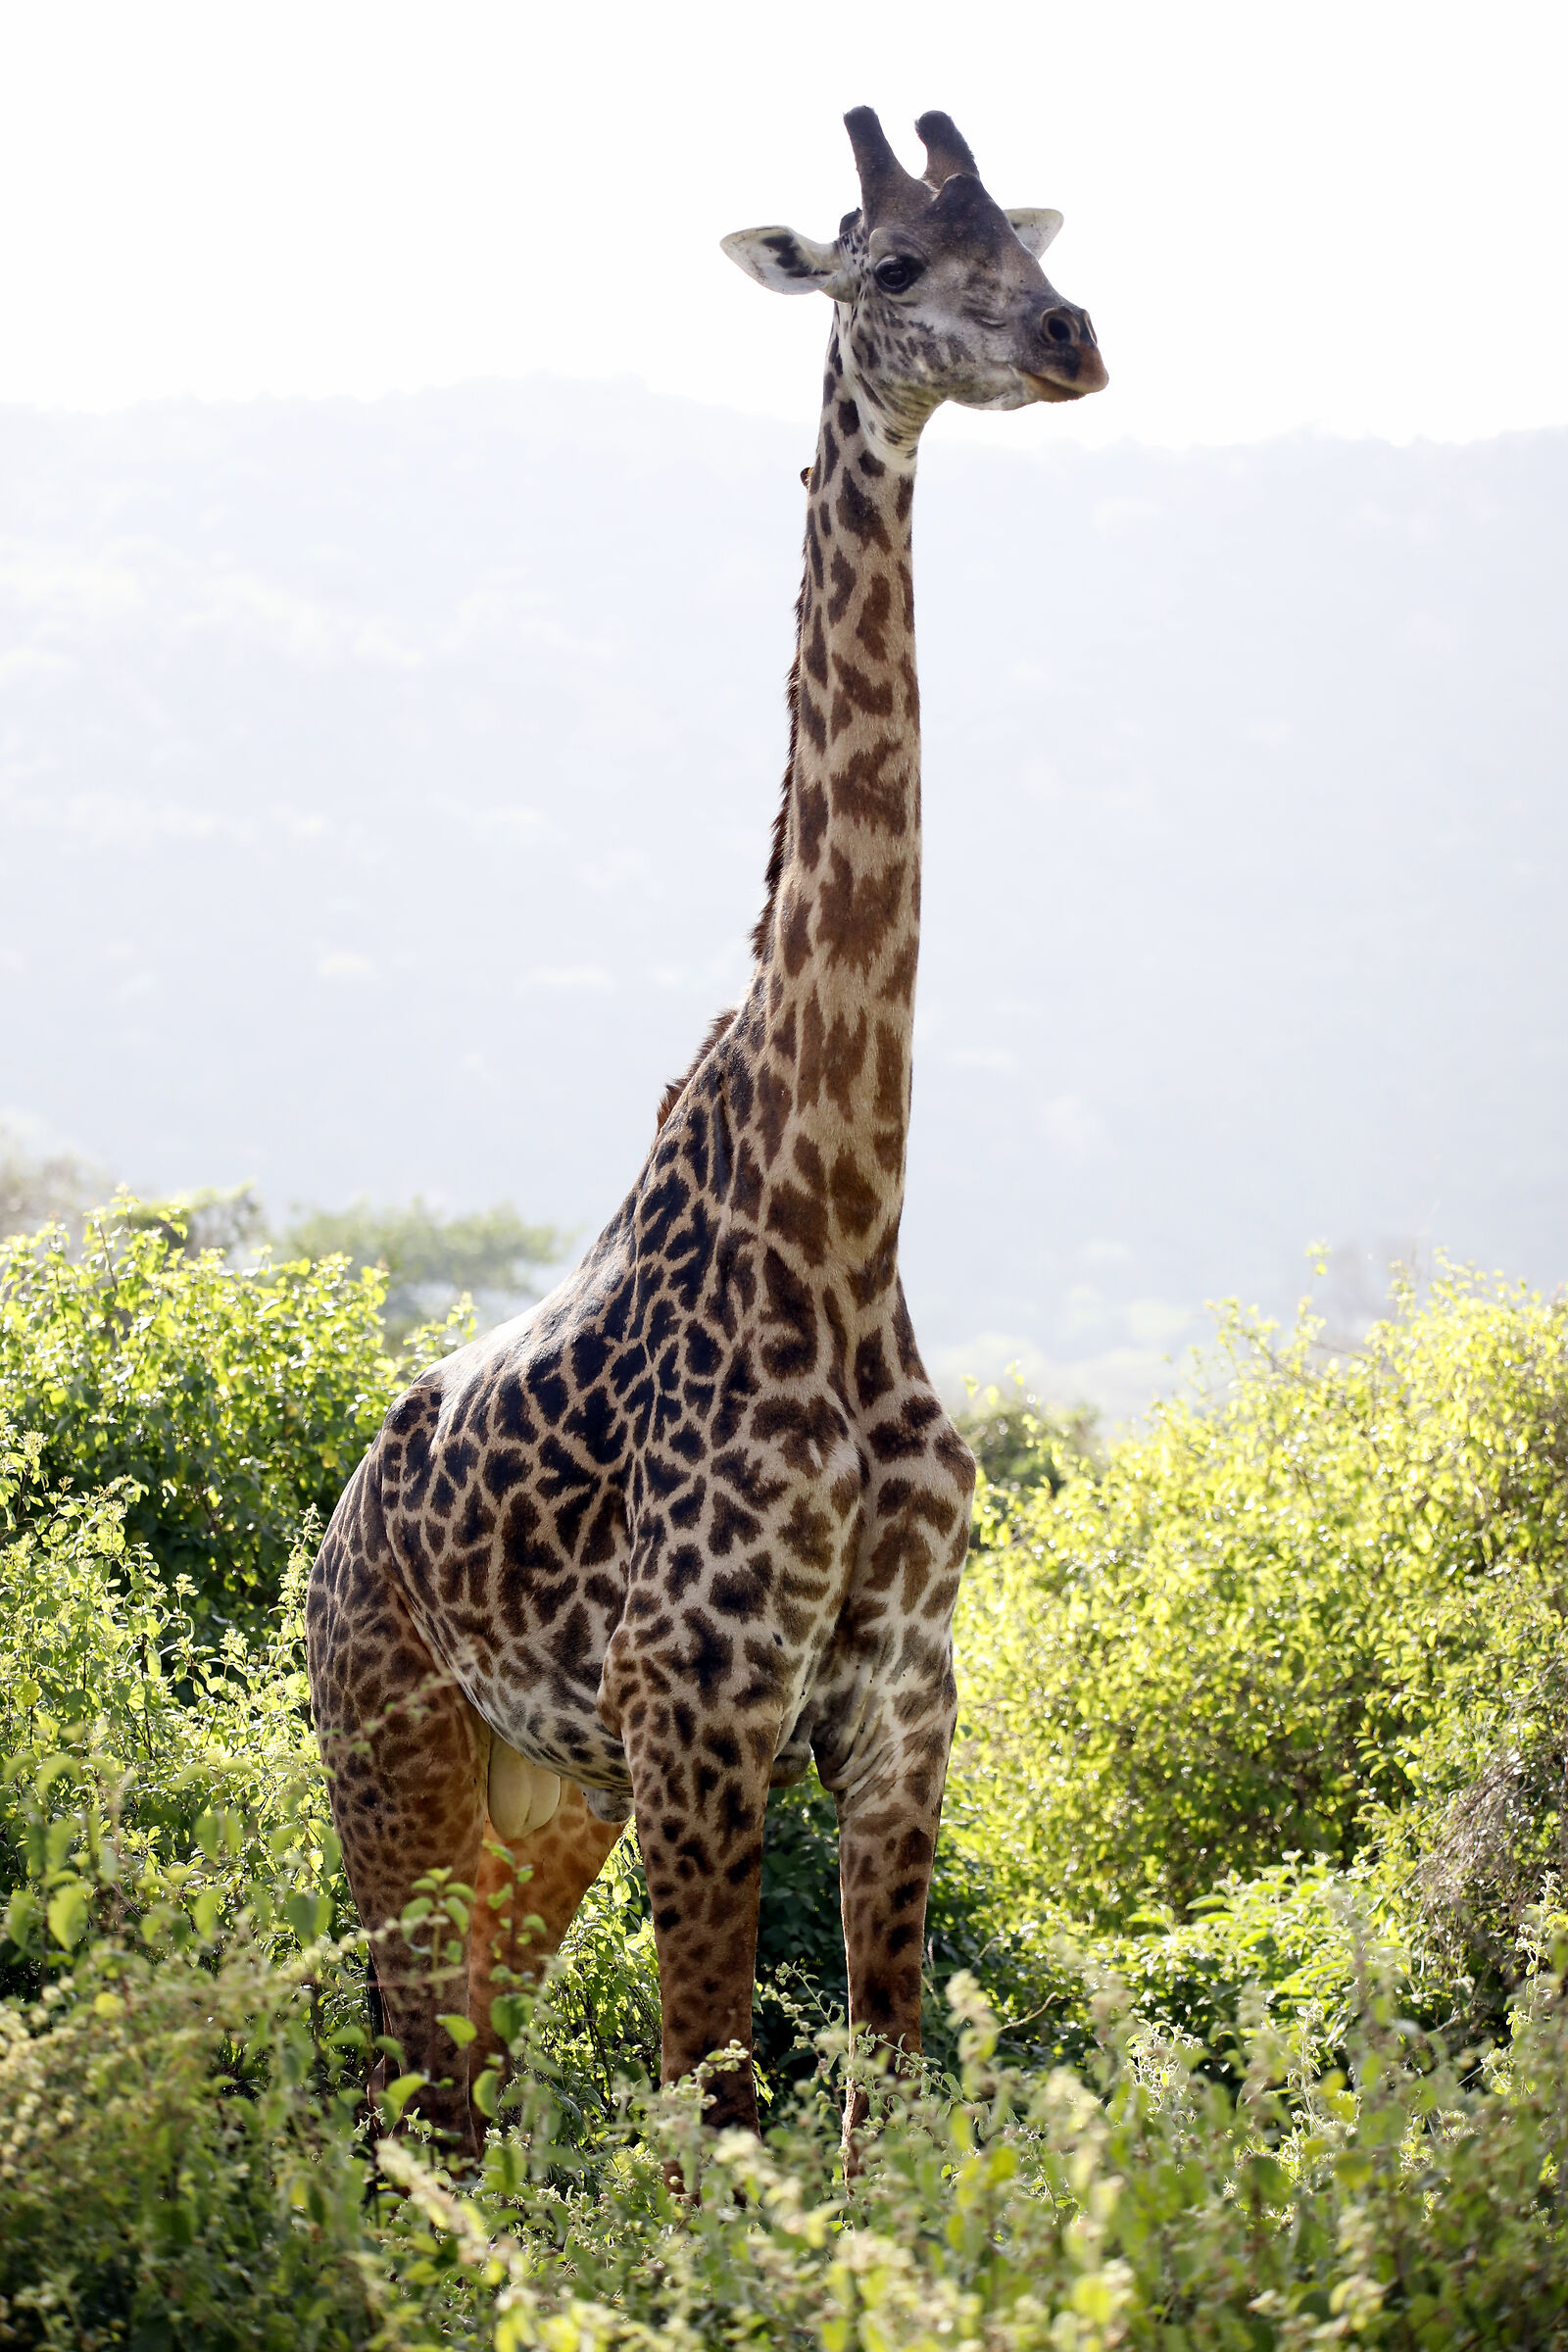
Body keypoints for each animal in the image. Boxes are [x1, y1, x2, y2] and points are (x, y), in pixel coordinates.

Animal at [306, 104, 1106, 2161]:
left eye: (1031, 241)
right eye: (891, 265)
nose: (1069, 338)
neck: (840, 1225)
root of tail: (331, 1532)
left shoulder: (903, 1693)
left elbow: (882, 2090)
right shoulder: (703, 1707)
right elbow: (719, 2115)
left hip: (543, 1807)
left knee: (458, 2085)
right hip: (395, 1748)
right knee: (408, 2097)